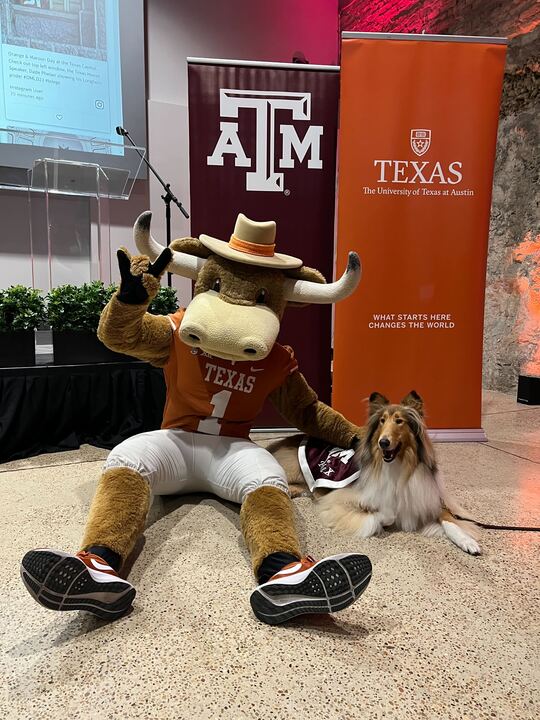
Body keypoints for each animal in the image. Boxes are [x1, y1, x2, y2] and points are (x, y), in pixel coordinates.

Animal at [270, 390, 480, 556]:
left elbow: (449, 520)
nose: (383, 443)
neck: (398, 468)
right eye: (381, 421)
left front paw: (468, 542)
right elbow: (384, 515)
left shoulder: (427, 498)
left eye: (399, 421)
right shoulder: (339, 499)